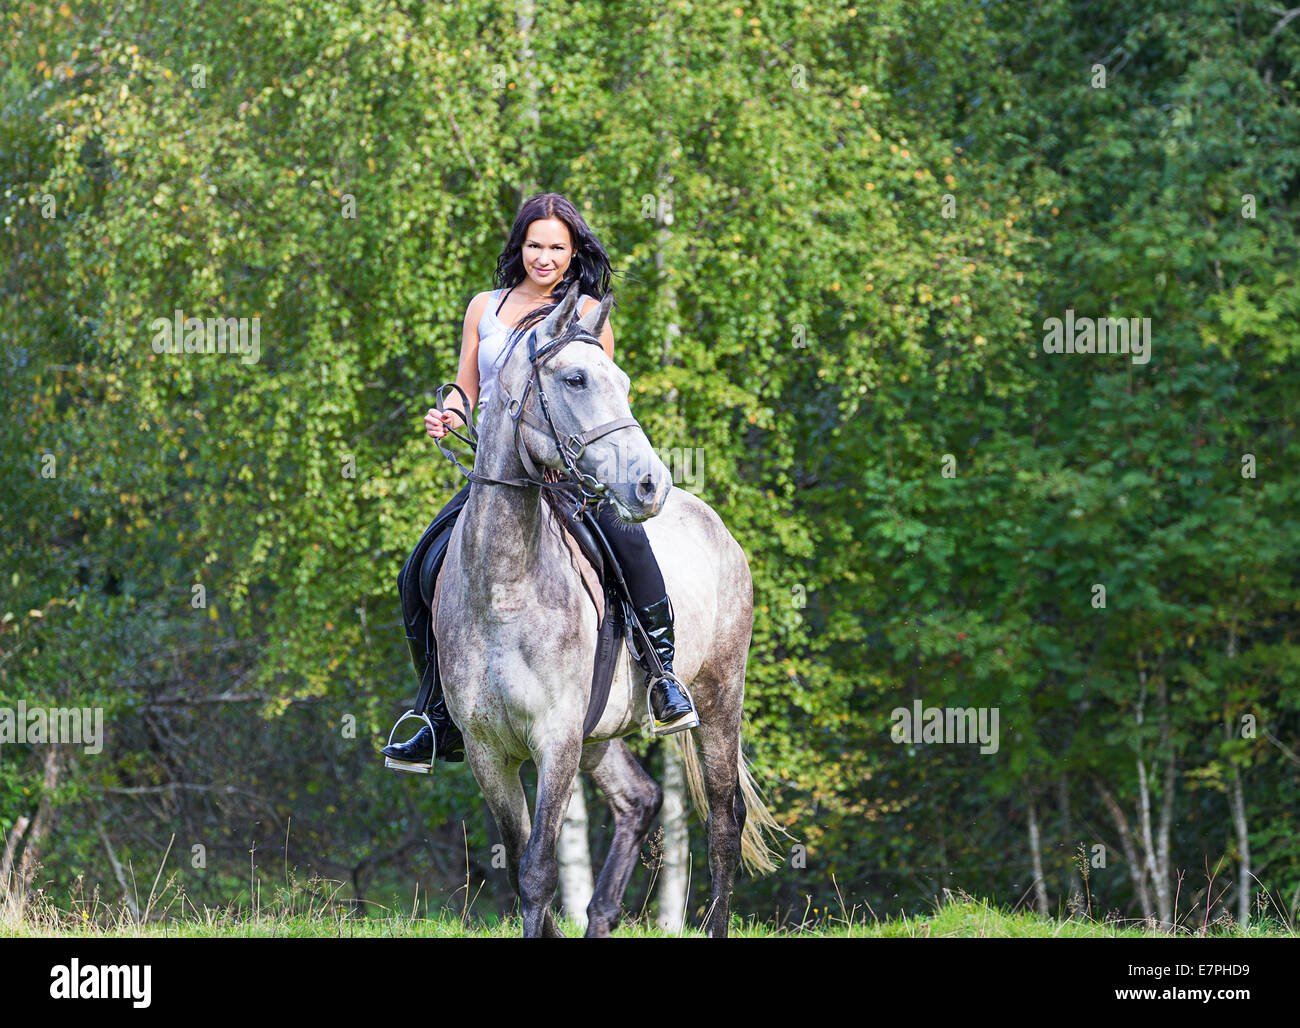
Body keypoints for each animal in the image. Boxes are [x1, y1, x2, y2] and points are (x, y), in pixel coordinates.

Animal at [436, 291, 774, 940]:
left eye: (623, 381)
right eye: (575, 378)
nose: (650, 484)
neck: (503, 592)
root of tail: (716, 525)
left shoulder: (556, 739)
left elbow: (538, 871)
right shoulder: (489, 750)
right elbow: (520, 866)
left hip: (719, 696)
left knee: (725, 820)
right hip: (602, 733)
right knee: (638, 799)